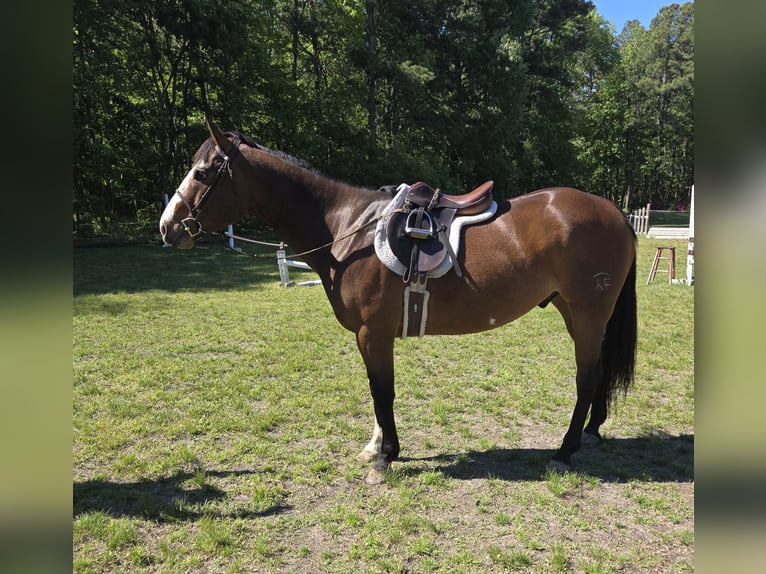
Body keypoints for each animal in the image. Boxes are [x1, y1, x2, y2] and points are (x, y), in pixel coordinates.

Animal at [160, 118, 637, 485]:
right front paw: (375, 448)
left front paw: (386, 456)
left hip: (588, 315)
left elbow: (381, 391)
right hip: (576, 313)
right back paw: (591, 432)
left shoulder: (374, 333)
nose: (168, 227)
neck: (347, 230)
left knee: (586, 379)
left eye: (202, 174)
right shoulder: (371, 335)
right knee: (596, 376)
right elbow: (376, 392)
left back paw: (565, 451)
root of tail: (613, 211)